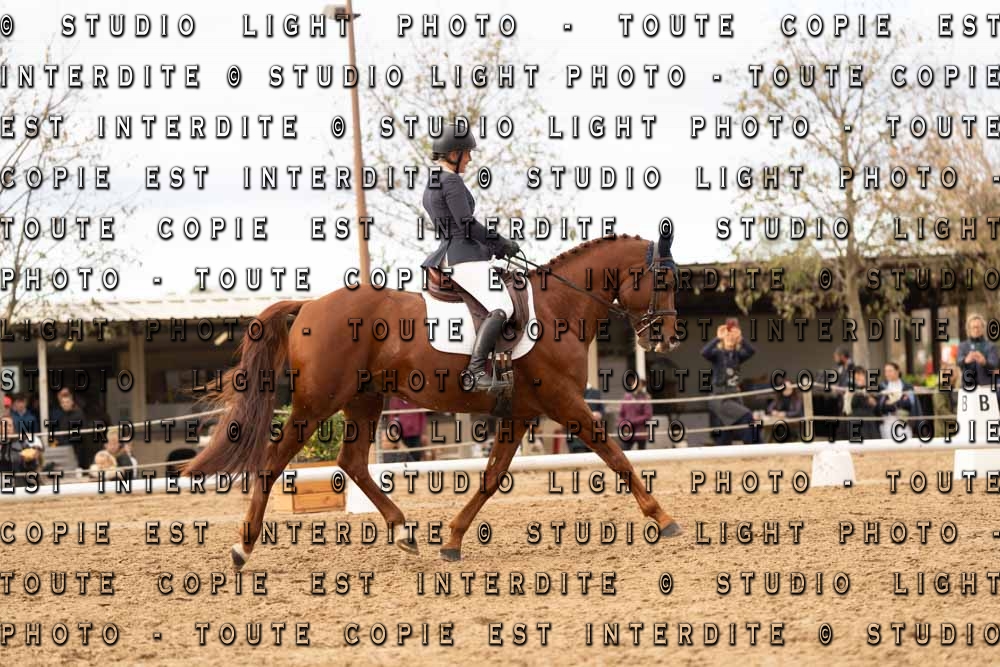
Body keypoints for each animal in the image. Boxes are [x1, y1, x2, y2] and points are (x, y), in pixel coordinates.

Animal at [184, 232, 682, 569]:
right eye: (661, 278)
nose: (669, 337)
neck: (559, 307)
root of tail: (308, 306)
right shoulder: (565, 403)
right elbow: (616, 456)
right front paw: (663, 518)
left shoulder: (521, 413)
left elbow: (491, 477)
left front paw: (453, 540)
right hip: (317, 403)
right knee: (273, 462)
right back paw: (242, 547)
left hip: (364, 399)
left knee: (352, 462)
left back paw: (404, 530)